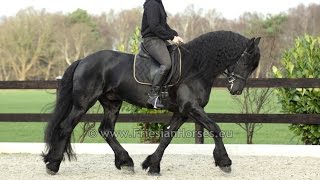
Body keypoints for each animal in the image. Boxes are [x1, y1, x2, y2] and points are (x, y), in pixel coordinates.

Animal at [42, 31, 262, 176]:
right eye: (246, 62)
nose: (236, 90)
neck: (196, 68)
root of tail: (83, 60)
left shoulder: (182, 112)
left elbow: (166, 137)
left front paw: (152, 165)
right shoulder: (192, 108)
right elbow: (215, 128)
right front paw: (224, 162)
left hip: (112, 103)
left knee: (106, 130)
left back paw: (126, 162)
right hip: (83, 103)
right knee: (65, 127)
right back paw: (53, 165)